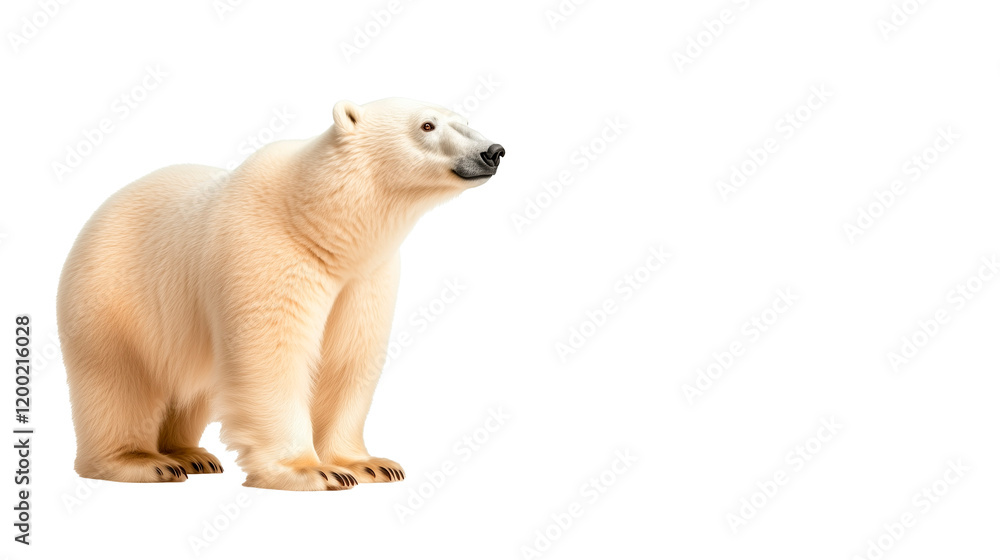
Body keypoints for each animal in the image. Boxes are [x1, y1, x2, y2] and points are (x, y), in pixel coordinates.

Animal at [56, 97, 504, 490]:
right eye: (427, 125)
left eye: (465, 120)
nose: (494, 151)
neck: (317, 222)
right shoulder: (269, 252)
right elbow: (273, 356)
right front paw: (311, 471)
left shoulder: (364, 277)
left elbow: (346, 357)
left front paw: (368, 465)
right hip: (113, 295)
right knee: (119, 378)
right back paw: (144, 461)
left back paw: (190, 454)